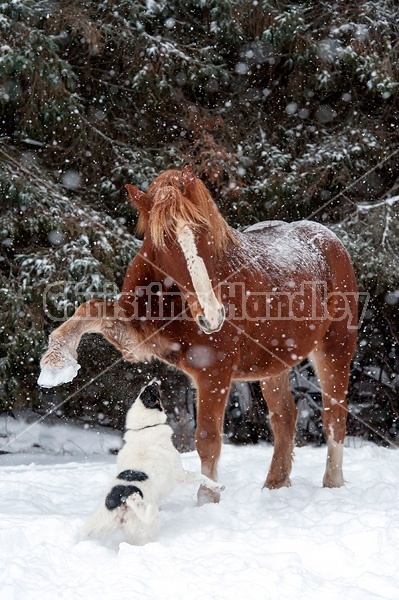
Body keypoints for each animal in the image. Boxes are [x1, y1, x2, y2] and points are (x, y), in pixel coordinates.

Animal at [39, 163, 360, 502]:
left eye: (204, 230)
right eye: (165, 239)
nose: (212, 315)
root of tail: (330, 241)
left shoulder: (213, 372)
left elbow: (207, 440)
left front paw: (207, 501)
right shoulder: (136, 341)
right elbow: (90, 309)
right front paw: (56, 365)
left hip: (335, 349)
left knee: (333, 416)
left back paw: (332, 483)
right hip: (274, 364)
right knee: (285, 417)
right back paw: (274, 485)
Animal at [83, 382, 225, 548]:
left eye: (143, 391)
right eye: (151, 391)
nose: (154, 382)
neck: (145, 428)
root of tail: (124, 498)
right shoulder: (180, 474)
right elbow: (201, 477)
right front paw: (218, 486)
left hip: (97, 525)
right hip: (148, 524)